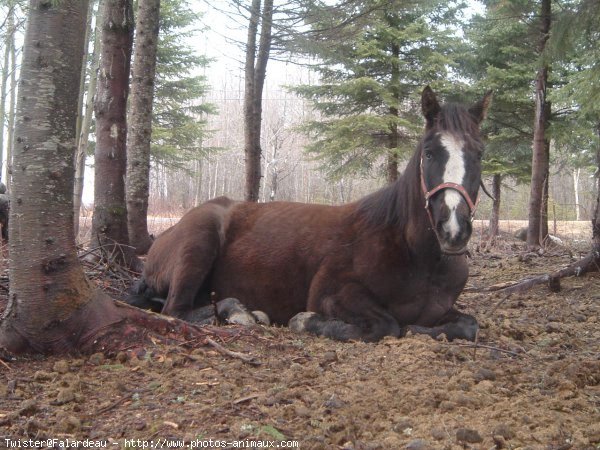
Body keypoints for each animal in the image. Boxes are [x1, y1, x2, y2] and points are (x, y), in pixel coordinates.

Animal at [129, 86, 490, 342]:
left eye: (479, 154)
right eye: (429, 152)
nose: (453, 229)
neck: (417, 257)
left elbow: (468, 325)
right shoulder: (333, 292)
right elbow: (386, 325)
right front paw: (305, 321)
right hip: (199, 241)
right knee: (176, 310)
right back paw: (241, 313)